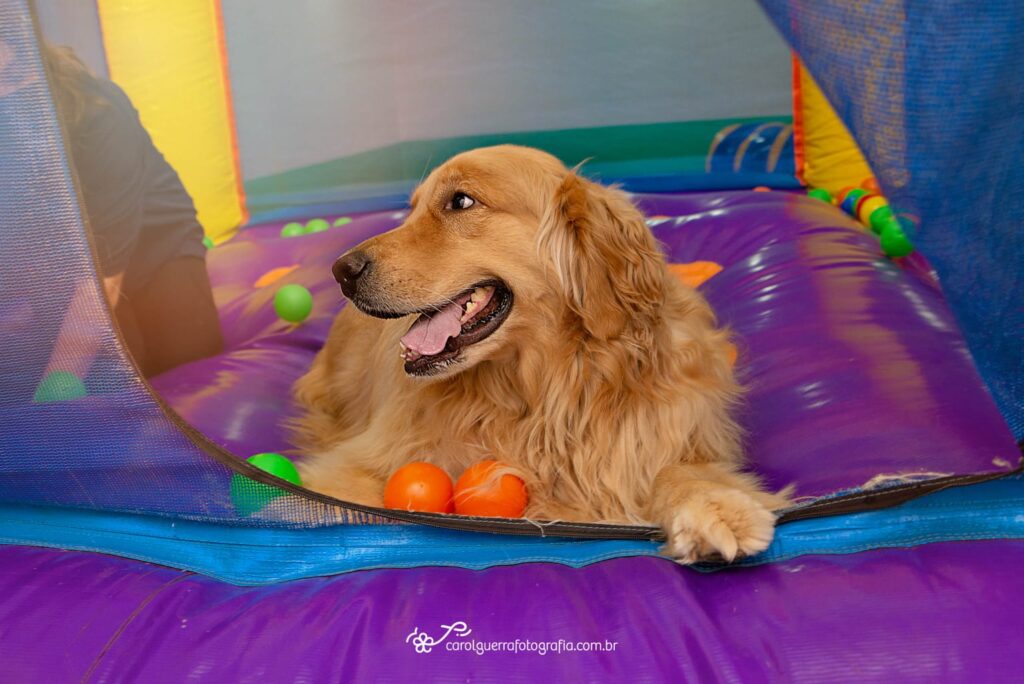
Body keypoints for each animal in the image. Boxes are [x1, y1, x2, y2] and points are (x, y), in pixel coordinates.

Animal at [292, 144, 786, 561]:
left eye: (461, 202)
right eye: (411, 209)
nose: (342, 271)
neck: (544, 388)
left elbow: (677, 471)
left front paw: (717, 507)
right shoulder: (349, 470)